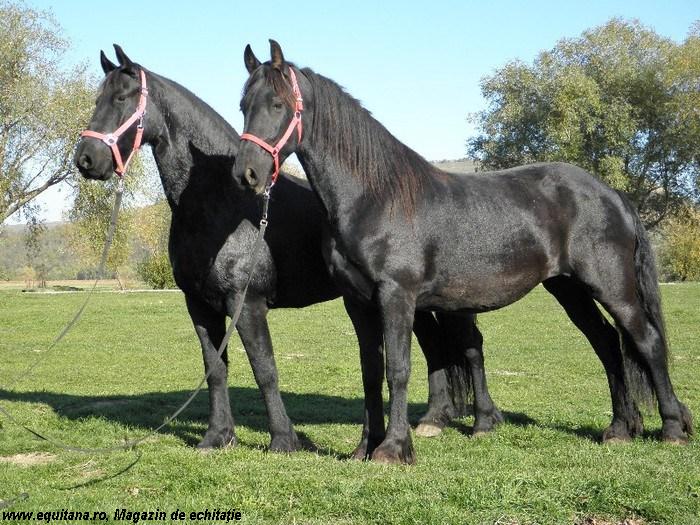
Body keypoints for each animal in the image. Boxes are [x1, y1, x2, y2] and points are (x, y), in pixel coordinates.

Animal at [74, 46, 500, 450]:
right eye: (98, 99)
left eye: (122, 98)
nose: (86, 159)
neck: (220, 203)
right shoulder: (199, 305)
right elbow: (215, 369)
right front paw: (217, 437)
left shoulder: (246, 303)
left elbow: (265, 370)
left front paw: (283, 439)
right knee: (435, 349)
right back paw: (434, 419)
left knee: (470, 347)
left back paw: (481, 421)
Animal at [235, 42, 696, 462]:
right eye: (243, 105)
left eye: (277, 103)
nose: (247, 174)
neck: (375, 196)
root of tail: (611, 193)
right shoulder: (358, 303)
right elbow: (371, 373)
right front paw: (365, 447)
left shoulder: (397, 296)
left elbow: (398, 370)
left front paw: (394, 449)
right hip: (569, 289)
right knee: (606, 344)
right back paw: (619, 428)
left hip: (612, 287)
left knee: (646, 341)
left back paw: (673, 428)